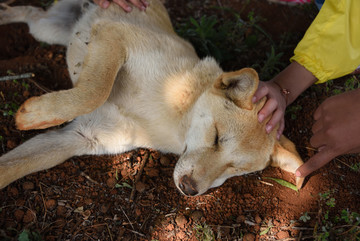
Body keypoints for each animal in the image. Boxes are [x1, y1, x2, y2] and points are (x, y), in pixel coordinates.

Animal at [0, 0, 304, 196]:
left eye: (236, 168)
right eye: (217, 138)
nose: (190, 190)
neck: (174, 117)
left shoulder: (81, 136)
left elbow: (9, 168)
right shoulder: (115, 34)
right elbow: (93, 91)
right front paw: (34, 115)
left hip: (47, 29)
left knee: (29, 12)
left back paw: (3, 14)